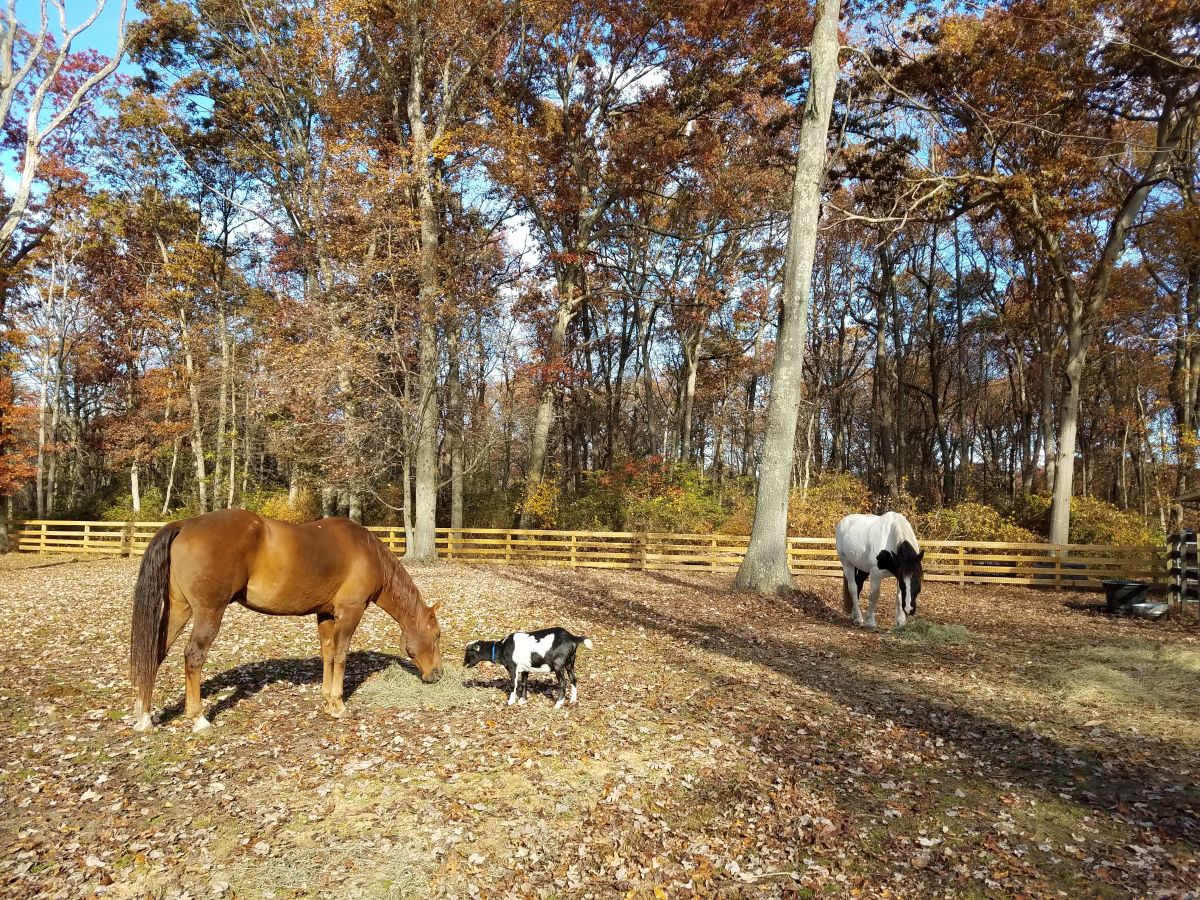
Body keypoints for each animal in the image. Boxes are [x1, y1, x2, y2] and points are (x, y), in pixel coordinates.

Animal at [131, 508, 441, 734]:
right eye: (437, 635)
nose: (436, 675)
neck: (366, 552)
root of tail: (185, 524)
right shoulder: (350, 613)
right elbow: (340, 655)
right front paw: (339, 704)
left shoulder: (325, 615)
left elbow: (328, 654)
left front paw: (328, 701)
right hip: (209, 613)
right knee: (193, 656)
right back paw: (198, 719)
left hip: (179, 610)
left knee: (155, 653)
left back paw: (144, 717)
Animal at [460, 628, 592, 710]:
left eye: (470, 652)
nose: (464, 663)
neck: (501, 648)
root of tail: (572, 638)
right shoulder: (524, 669)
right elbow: (524, 683)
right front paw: (522, 700)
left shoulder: (513, 667)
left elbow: (513, 684)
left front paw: (510, 701)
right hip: (570, 663)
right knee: (574, 679)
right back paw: (573, 700)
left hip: (558, 665)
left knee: (563, 683)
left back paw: (558, 704)